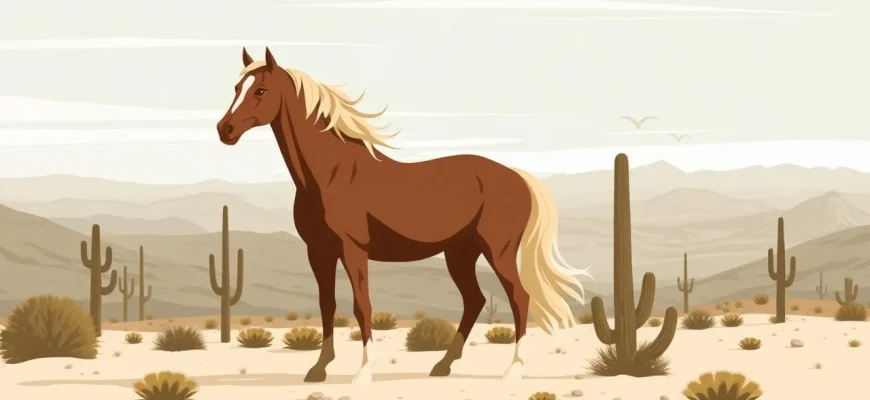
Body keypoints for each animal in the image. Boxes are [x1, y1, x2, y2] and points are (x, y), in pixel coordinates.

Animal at [216, 47, 592, 384]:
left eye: (260, 90)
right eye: (236, 88)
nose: (224, 130)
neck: (329, 175)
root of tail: (518, 177)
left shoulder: (353, 249)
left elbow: (362, 306)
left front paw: (363, 373)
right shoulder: (319, 252)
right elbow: (327, 306)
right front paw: (318, 370)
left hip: (497, 251)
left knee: (518, 297)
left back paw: (513, 371)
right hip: (460, 253)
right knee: (475, 300)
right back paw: (442, 366)